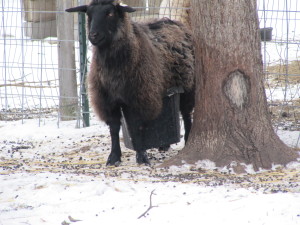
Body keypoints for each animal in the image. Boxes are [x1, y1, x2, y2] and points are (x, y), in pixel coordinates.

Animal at [66, 0, 195, 165]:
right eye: (89, 14)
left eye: (110, 13)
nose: (93, 35)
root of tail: (174, 21)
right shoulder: (108, 101)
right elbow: (114, 129)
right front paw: (114, 157)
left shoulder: (139, 98)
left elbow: (136, 127)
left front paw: (141, 156)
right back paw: (164, 145)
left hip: (188, 87)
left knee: (186, 114)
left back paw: (187, 139)